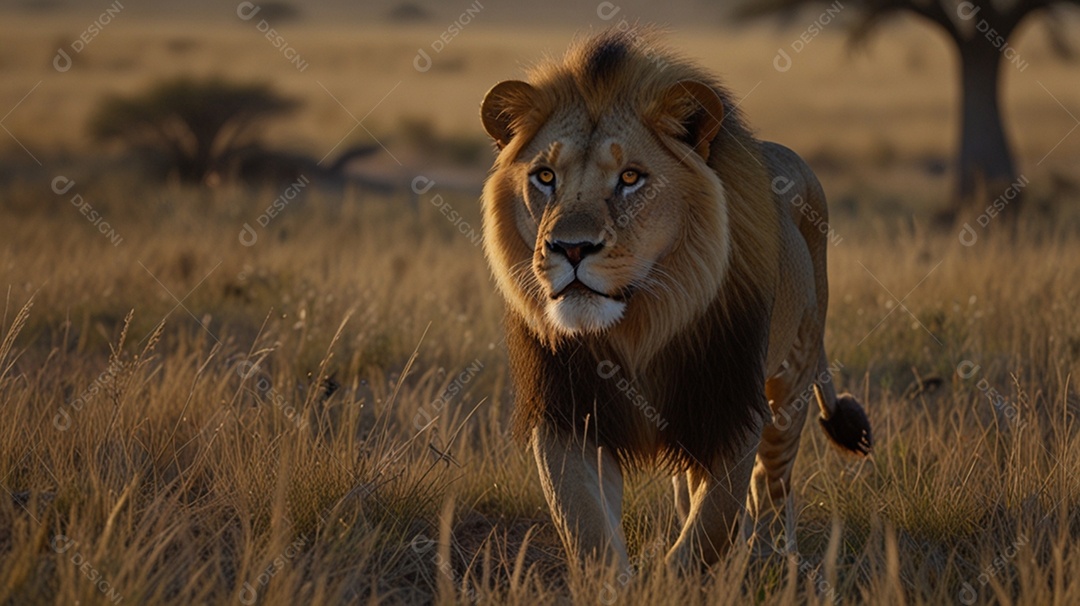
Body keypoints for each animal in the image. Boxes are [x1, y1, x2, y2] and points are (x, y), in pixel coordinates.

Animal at [478, 29, 872, 571]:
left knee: (774, 482)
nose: (571, 248)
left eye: (630, 177)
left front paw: (680, 575)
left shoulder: (730, 405)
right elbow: (586, 525)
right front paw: (620, 580)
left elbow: (711, 525)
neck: (639, 325)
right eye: (544, 176)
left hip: (793, 375)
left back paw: (775, 558)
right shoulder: (568, 412)